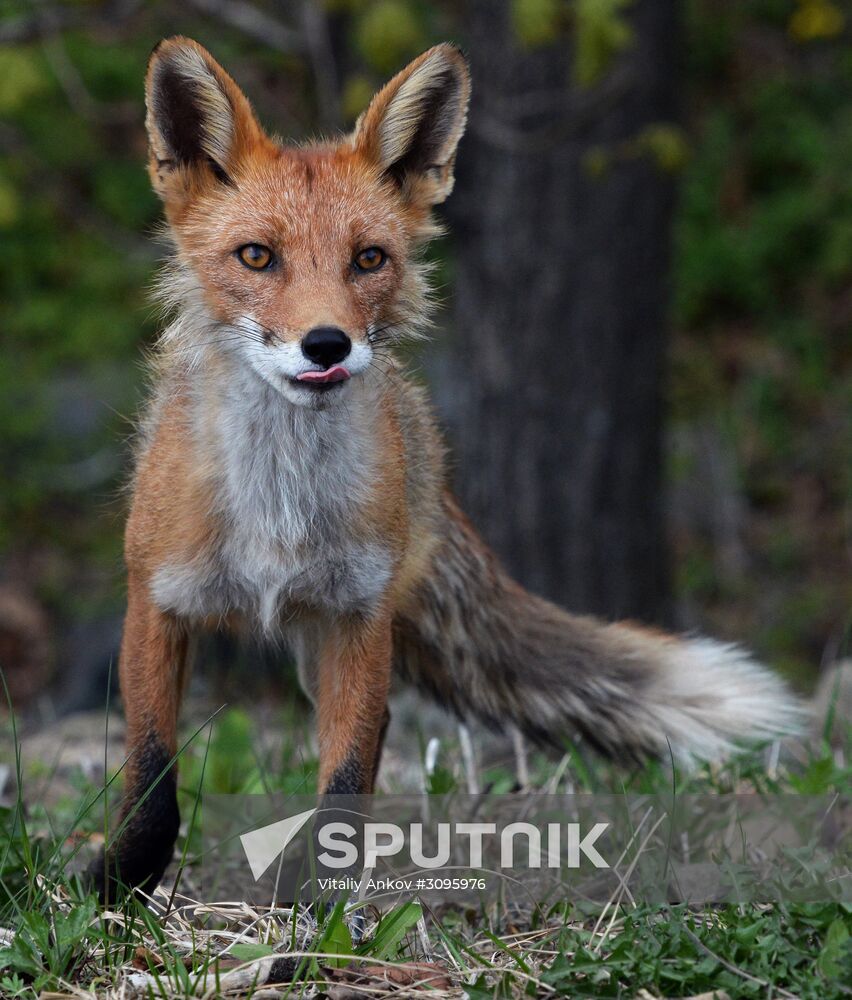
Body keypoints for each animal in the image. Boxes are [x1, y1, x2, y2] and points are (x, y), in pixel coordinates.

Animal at [90, 37, 804, 900]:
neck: (279, 506)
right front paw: (114, 885)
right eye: (256, 256)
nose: (326, 344)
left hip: (341, 639)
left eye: (369, 259)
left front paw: (315, 911)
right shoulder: (154, 601)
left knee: (377, 736)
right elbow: (151, 772)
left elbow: (344, 780)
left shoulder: (357, 616)